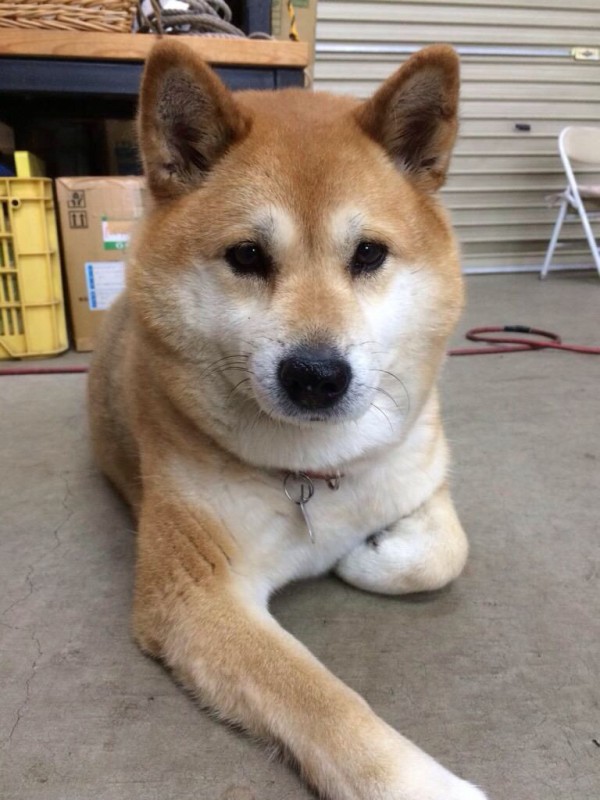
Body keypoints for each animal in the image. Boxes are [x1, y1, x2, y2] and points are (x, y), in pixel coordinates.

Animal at [89, 40, 488, 796]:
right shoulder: (197, 596)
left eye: (368, 254)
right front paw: (422, 783)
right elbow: (324, 704)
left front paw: (367, 554)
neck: (316, 469)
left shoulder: (422, 467)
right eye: (247, 256)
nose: (316, 376)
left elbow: (446, 554)